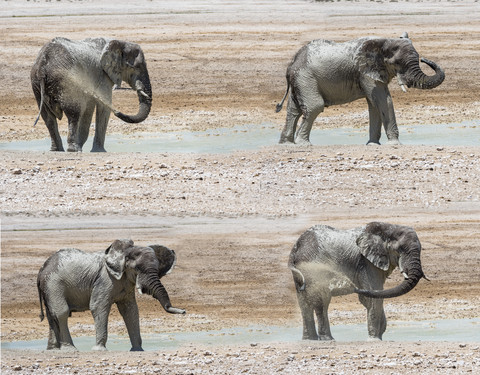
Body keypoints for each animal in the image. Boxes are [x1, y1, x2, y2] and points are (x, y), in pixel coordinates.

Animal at [35, 241, 185, 352]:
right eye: (137, 269)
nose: (183, 311)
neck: (124, 252)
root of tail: (42, 269)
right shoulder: (105, 279)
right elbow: (98, 306)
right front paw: (99, 350)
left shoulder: (126, 284)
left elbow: (131, 311)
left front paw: (138, 350)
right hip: (54, 284)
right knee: (62, 313)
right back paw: (70, 350)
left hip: (49, 287)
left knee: (51, 315)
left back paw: (53, 350)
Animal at [276, 33, 444, 146]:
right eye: (397, 63)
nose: (425, 60)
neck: (383, 41)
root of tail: (292, 63)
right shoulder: (365, 73)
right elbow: (384, 101)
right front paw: (395, 144)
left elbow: (375, 104)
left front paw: (373, 144)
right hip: (305, 78)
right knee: (314, 106)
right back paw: (303, 144)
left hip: (299, 80)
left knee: (294, 110)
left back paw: (286, 144)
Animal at [288, 223, 428, 344]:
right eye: (400, 249)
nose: (350, 285)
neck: (388, 228)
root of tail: (296, 247)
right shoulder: (367, 263)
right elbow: (374, 295)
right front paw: (375, 339)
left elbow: (373, 295)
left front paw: (380, 333)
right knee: (321, 301)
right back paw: (327, 339)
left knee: (305, 302)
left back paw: (310, 339)